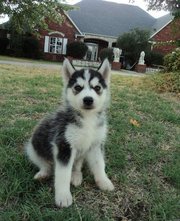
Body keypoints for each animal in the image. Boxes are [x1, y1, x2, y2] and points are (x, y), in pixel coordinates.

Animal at [25, 58, 114, 207]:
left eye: (97, 88)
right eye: (78, 88)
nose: (88, 99)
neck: (87, 118)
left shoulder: (96, 145)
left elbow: (99, 164)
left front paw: (103, 181)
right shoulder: (64, 145)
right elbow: (63, 174)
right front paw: (63, 196)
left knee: (76, 165)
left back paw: (76, 175)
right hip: (33, 147)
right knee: (45, 164)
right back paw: (43, 173)